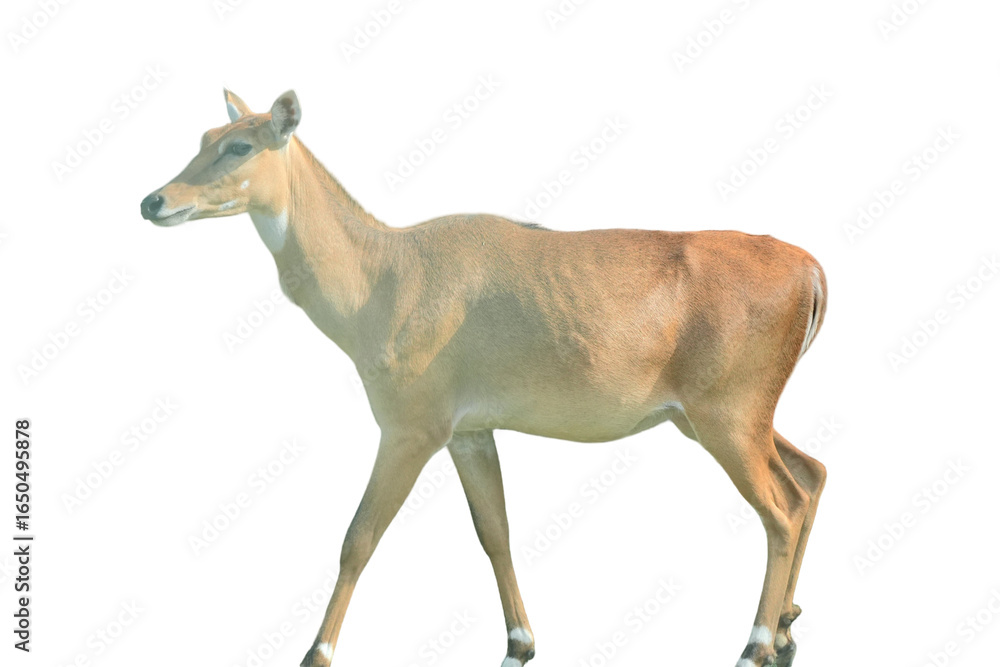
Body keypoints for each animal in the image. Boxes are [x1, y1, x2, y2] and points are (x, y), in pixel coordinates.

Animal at [140, 89, 828, 667]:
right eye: (205, 133)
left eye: (240, 144)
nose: (154, 201)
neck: (377, 280)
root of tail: (812, 271)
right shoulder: (470, 429)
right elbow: (493, 530)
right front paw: (519, 645)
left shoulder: (411, 424)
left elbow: (359, 536)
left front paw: (316, 654)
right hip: (718, 415)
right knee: (811, 473)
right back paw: (788, 630)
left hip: (727, 413)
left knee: (781, 507)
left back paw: (756, 646)